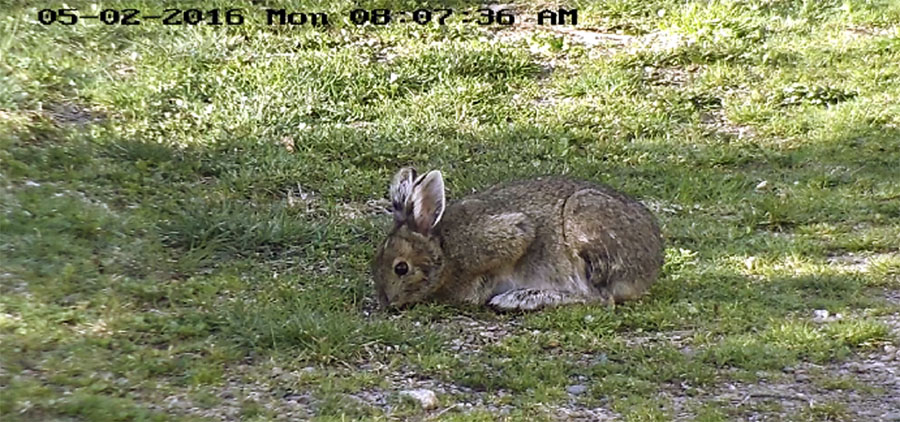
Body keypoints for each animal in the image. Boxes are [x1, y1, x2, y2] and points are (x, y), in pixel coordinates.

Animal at [372, 168, 664, 311]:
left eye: (401, 268)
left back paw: (520, 299)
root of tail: (651, 267)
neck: (444, 251)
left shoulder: (511, 235)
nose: (387, 303)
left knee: (601, 298)